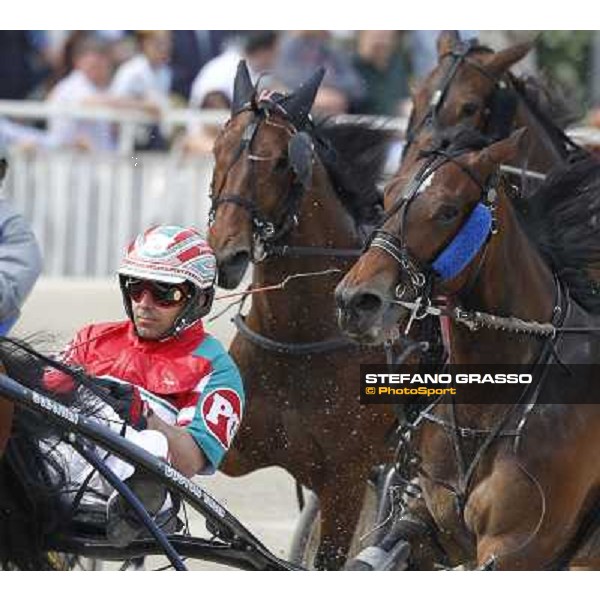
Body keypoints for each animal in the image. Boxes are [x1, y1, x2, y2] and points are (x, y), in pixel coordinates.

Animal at [209, 63, 420, 568]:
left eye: (282, 163)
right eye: (217, 150)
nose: (226, 252)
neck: (298, 339)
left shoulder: (345, 481)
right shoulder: (233, 447)